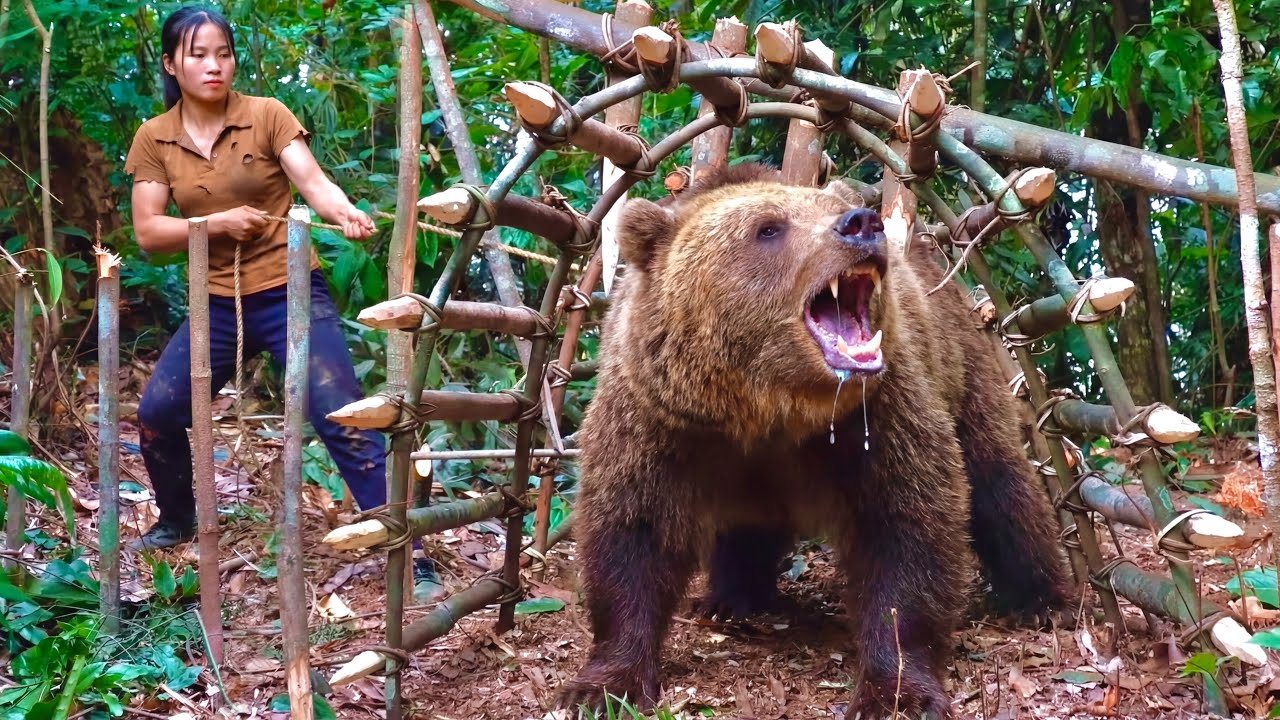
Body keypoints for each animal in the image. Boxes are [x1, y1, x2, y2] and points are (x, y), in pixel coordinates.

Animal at [558, 163, 1068, 719]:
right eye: (768, 228)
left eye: (831, 209)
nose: (862, 223)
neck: (765, 408)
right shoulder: (660, 420)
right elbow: (633, 533)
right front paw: (602, 684)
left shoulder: (875, 417)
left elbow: (906, 531)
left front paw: (896, 692)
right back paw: (732, 597)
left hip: (961, 361)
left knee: (998, 481)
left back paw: (1040, 599)